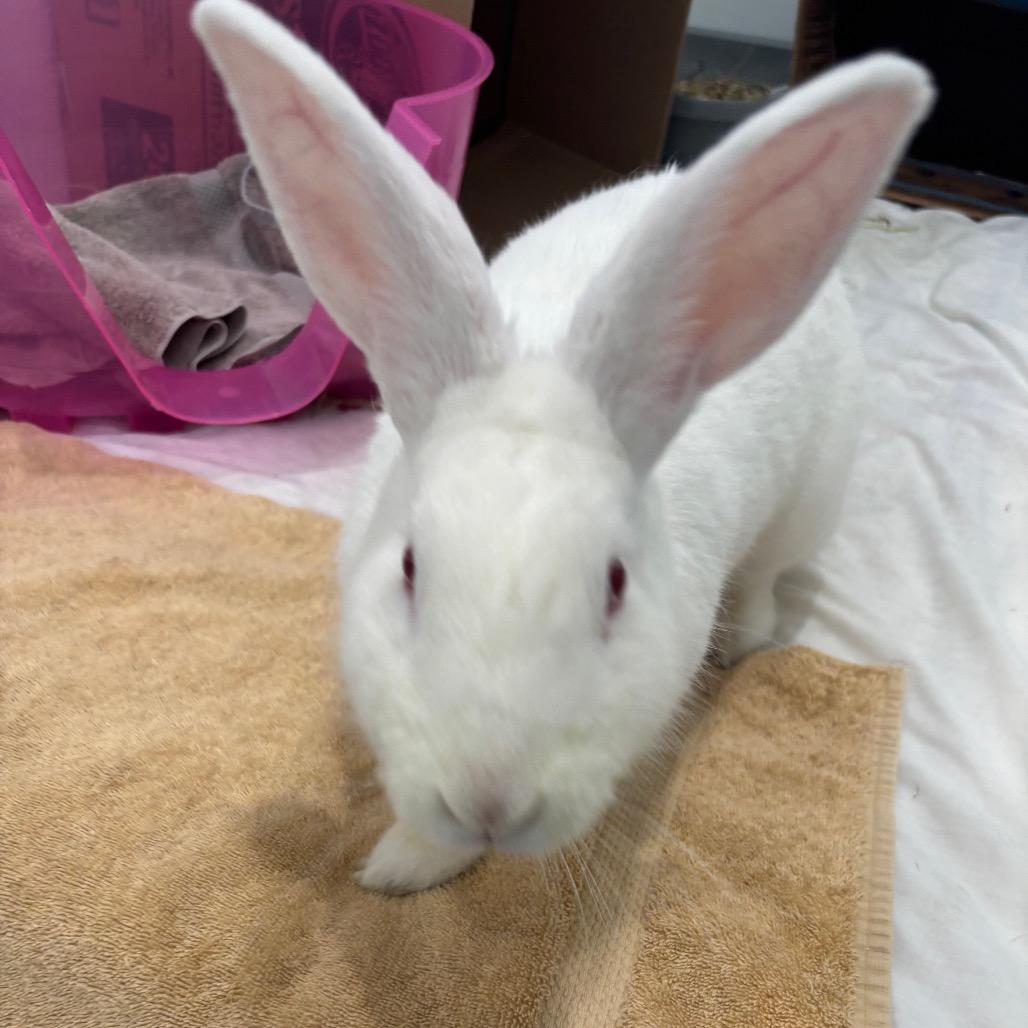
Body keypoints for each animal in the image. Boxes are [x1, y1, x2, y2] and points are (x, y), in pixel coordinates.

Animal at [193, 0, 934, 894]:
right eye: (409, 568)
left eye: (616, 585)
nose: (489, 803)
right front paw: (406, 865)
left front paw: (399, 870)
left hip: (809, 500)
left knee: (766, 576)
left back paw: (745, 641)